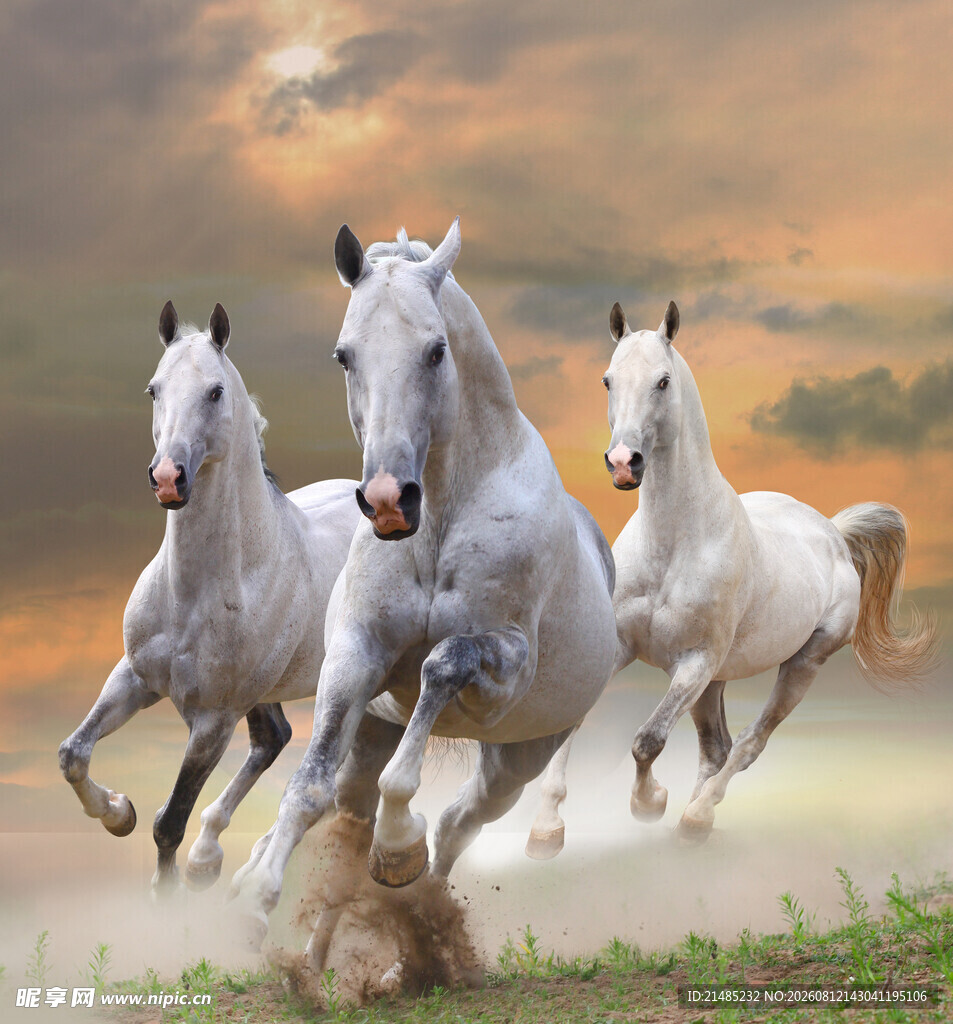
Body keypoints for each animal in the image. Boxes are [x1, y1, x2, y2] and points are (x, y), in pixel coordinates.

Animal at [58, 302, 361, 891]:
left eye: (216, 391)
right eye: (153, 389)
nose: (167, 478)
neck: (195, 594)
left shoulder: (213, 721)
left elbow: (169, 821)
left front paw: (167, 895)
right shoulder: (134, 678)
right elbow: (73, 754)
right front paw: (118, 814)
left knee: (322, 771)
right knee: (274, 739)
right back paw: (210, 859)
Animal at [229, 220, 617, 957]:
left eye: (436, 351)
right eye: (343, 356)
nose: (387, 501)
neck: (440, 517)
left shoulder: (503, 669)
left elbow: (441, 665)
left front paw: (397, 844)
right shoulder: (355, 656)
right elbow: (308, 788)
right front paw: (256, 900)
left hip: (517, 758)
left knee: (456, 825)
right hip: (372, 733)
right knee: (349, 820)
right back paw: (312, 959)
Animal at [529, 299, 937, 844]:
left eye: (663, 381)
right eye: (607, 380)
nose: (623, 463)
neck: (673, 545)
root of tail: (832, 532)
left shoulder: (695, 661)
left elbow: (648, 739)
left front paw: (648, 802)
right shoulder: (621, 646)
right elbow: (572, 723)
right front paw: (546, 827)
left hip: (800, 663)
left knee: (747, 744)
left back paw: (696, 816)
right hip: (716, 680)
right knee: (716, 747)